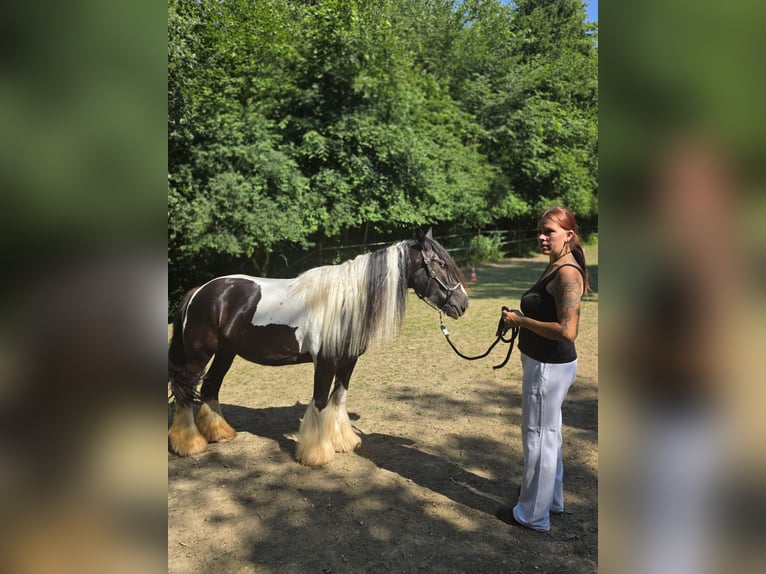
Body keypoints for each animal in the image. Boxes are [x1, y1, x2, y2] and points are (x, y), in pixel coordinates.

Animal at [168, 229, 469, 466]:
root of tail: (199, 291)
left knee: (210, 387)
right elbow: (321, 402)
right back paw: (190, 445)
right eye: (441, 264)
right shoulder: (325, 362)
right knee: (185, 395)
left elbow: (339, 398)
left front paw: (344, 442)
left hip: (225, 353)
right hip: (198, 355)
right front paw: (317, 454)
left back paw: (219, 434)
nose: (463, 304)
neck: (346, 301)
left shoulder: (348, 361)